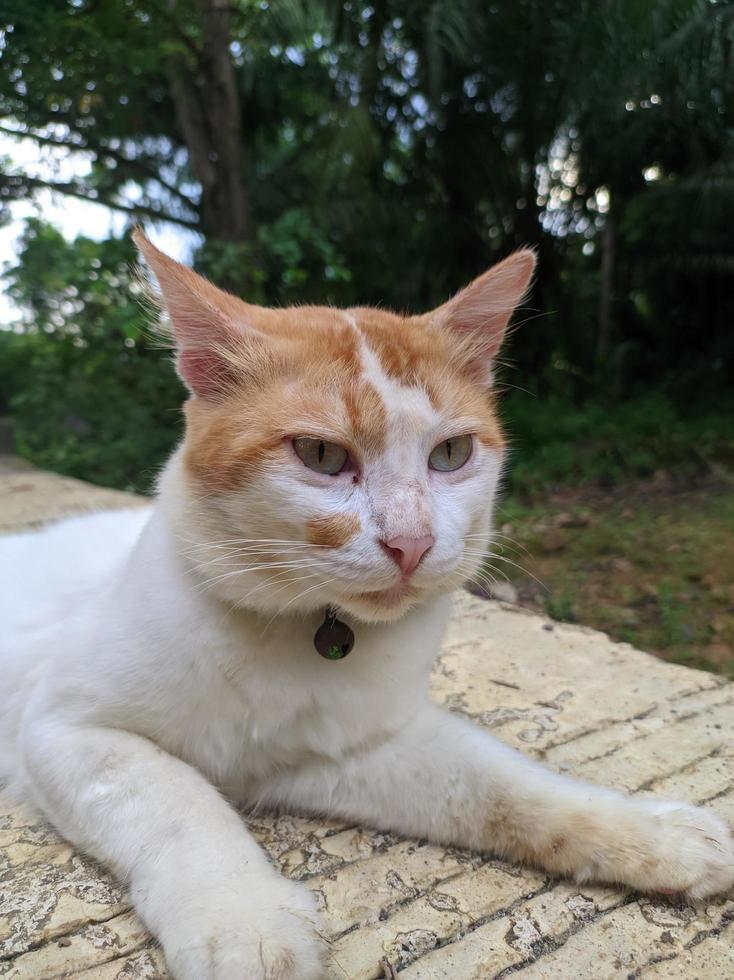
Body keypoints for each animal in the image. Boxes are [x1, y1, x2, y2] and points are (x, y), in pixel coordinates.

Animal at [0, 232, 732, 980]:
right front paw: (241, 918)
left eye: (452, 453)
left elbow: (501, 786)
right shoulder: (64, 730)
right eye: (322, 455)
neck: (297, 630)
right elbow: (179, 800)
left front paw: (649, 833)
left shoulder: (350, 751)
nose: (413, 542)